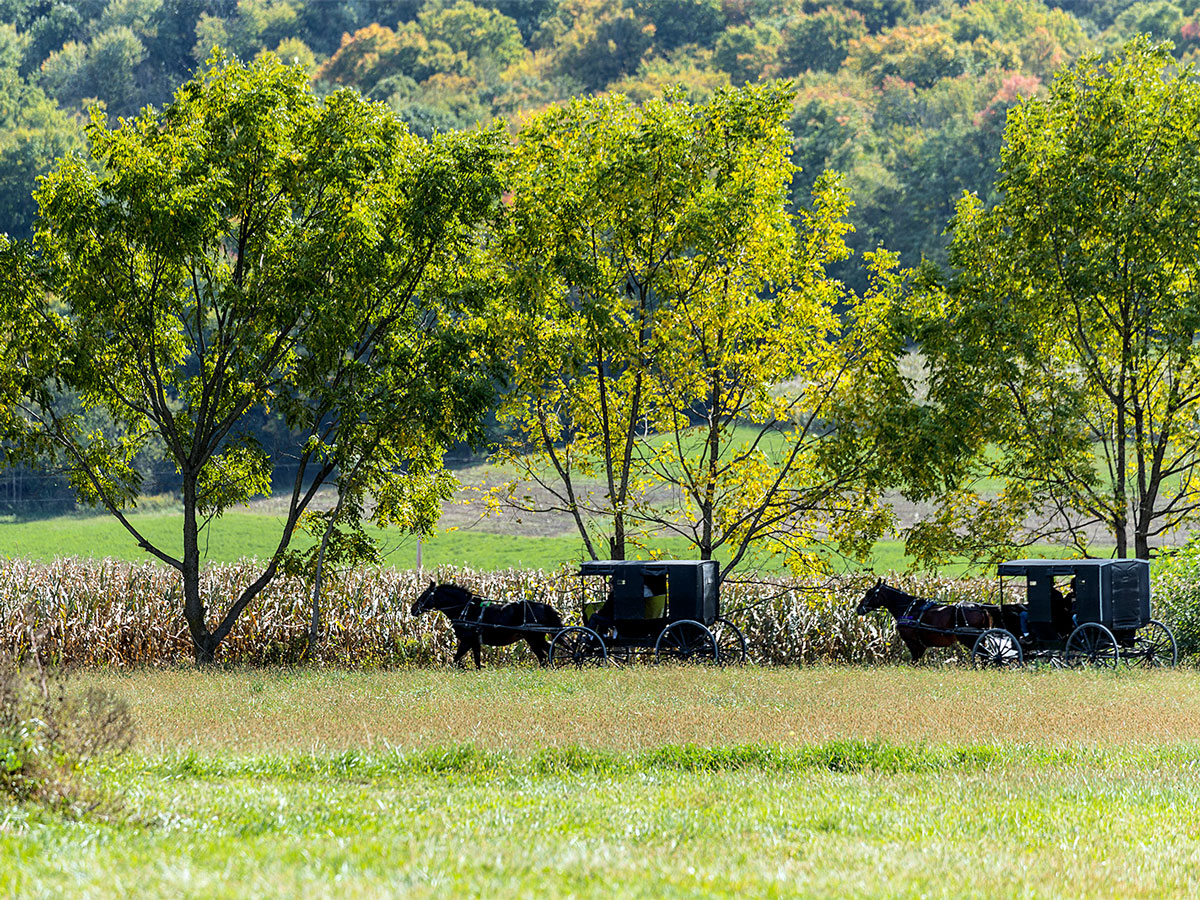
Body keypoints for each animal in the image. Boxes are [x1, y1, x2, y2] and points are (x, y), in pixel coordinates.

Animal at [410, 582, 564, 669]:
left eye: (425, 595)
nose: (412, 609)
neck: (466, 609)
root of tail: (544, 606)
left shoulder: (467, 641)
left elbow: (456, 659)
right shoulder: (474, 642)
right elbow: (476, 661)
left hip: (533, 637)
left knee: (546, 654)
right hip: (535, 638)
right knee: (548, 652)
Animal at [856, 579, 996, 663]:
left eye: (870, 593)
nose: (858, 608)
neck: (909, 608)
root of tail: (980, 607)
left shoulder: (912, 642)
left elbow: (914, 661)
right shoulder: (921, 645)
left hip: (969, 638)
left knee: (984, 654)